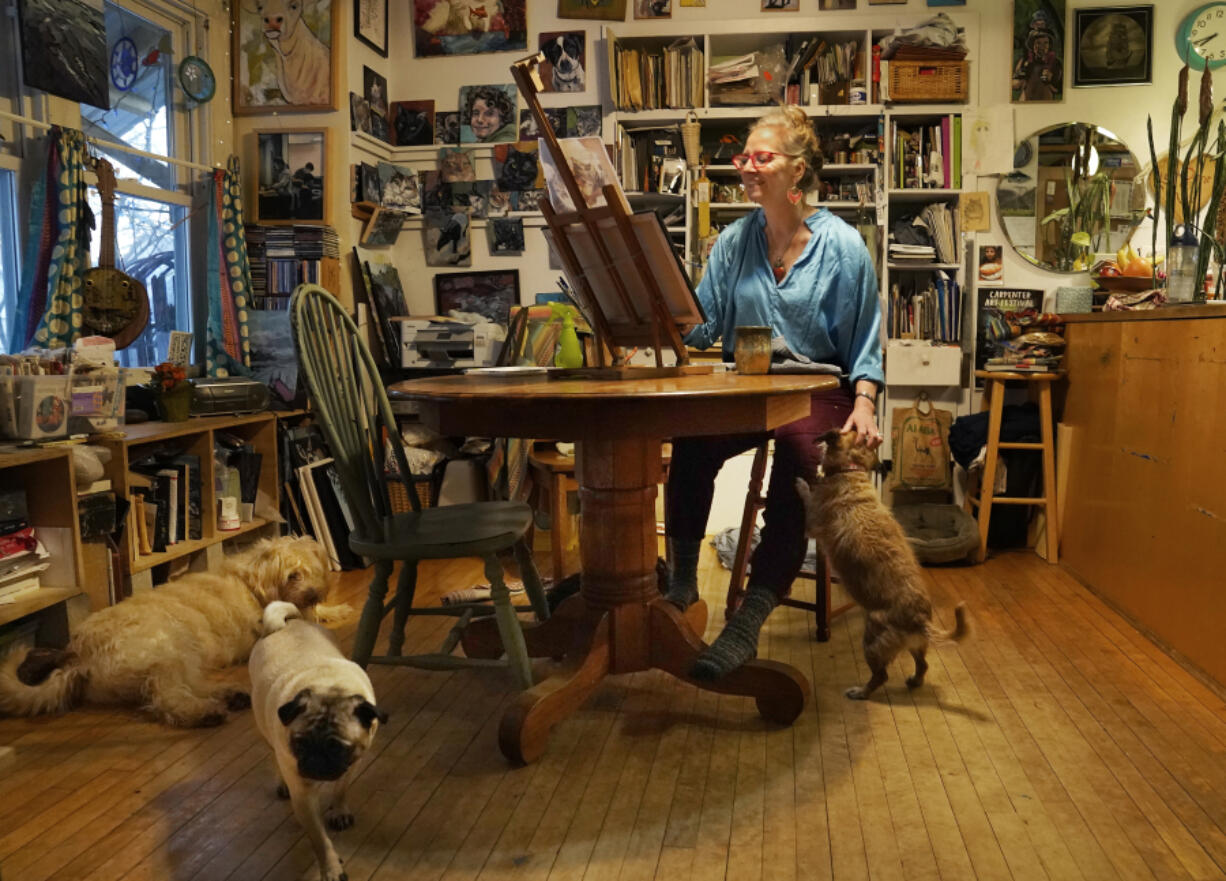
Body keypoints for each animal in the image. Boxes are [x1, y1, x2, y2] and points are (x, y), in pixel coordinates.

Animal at [0, 534, 343, 725]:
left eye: (312, 571)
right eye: (292, 576)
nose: (315, 593)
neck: (252, 583)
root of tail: (76, 658)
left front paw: (335, 609)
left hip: (182, 655)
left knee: (187, 685)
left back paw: (230, 695)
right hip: (167, 648)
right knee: (167, 696)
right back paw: (204, 713)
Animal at [247, 600, 382, 881]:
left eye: (338, 748)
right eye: (299, 744)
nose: (315, 763)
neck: (327, 685)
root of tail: (291, 622)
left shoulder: (352, 763)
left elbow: (341, 788)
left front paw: (339, 810)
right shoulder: (303, 796)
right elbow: (319, 838)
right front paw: (331, 867)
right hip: (265, 728)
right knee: (273, 755)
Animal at [794, 428, 966, 700]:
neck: (850, 470)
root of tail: (919, 619)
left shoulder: (811, 521)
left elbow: (808, 497)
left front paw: (802, 483)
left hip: (872, 641)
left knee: (881, 676)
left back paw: (860, 692)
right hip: (915, 644)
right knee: (923, 665)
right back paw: (914, 681)